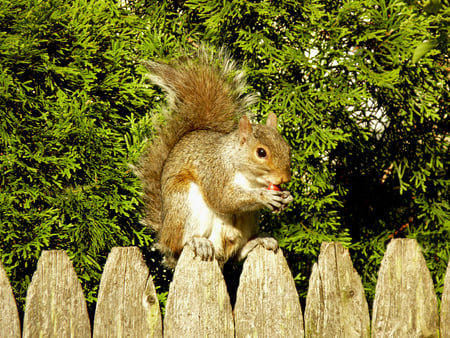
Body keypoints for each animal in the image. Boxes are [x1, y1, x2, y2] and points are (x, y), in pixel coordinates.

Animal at [135, 46, 294, 268]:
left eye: (288, 148)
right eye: (261, 152)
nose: (285, 178)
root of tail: (165, 232)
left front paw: (287, 197)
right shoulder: (214, 170)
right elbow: (222, 198)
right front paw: (263, 196)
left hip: (248, 218)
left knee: (235, 254)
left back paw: (257, 241)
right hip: (187, 205)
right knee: (180, 246)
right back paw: (197, 243)